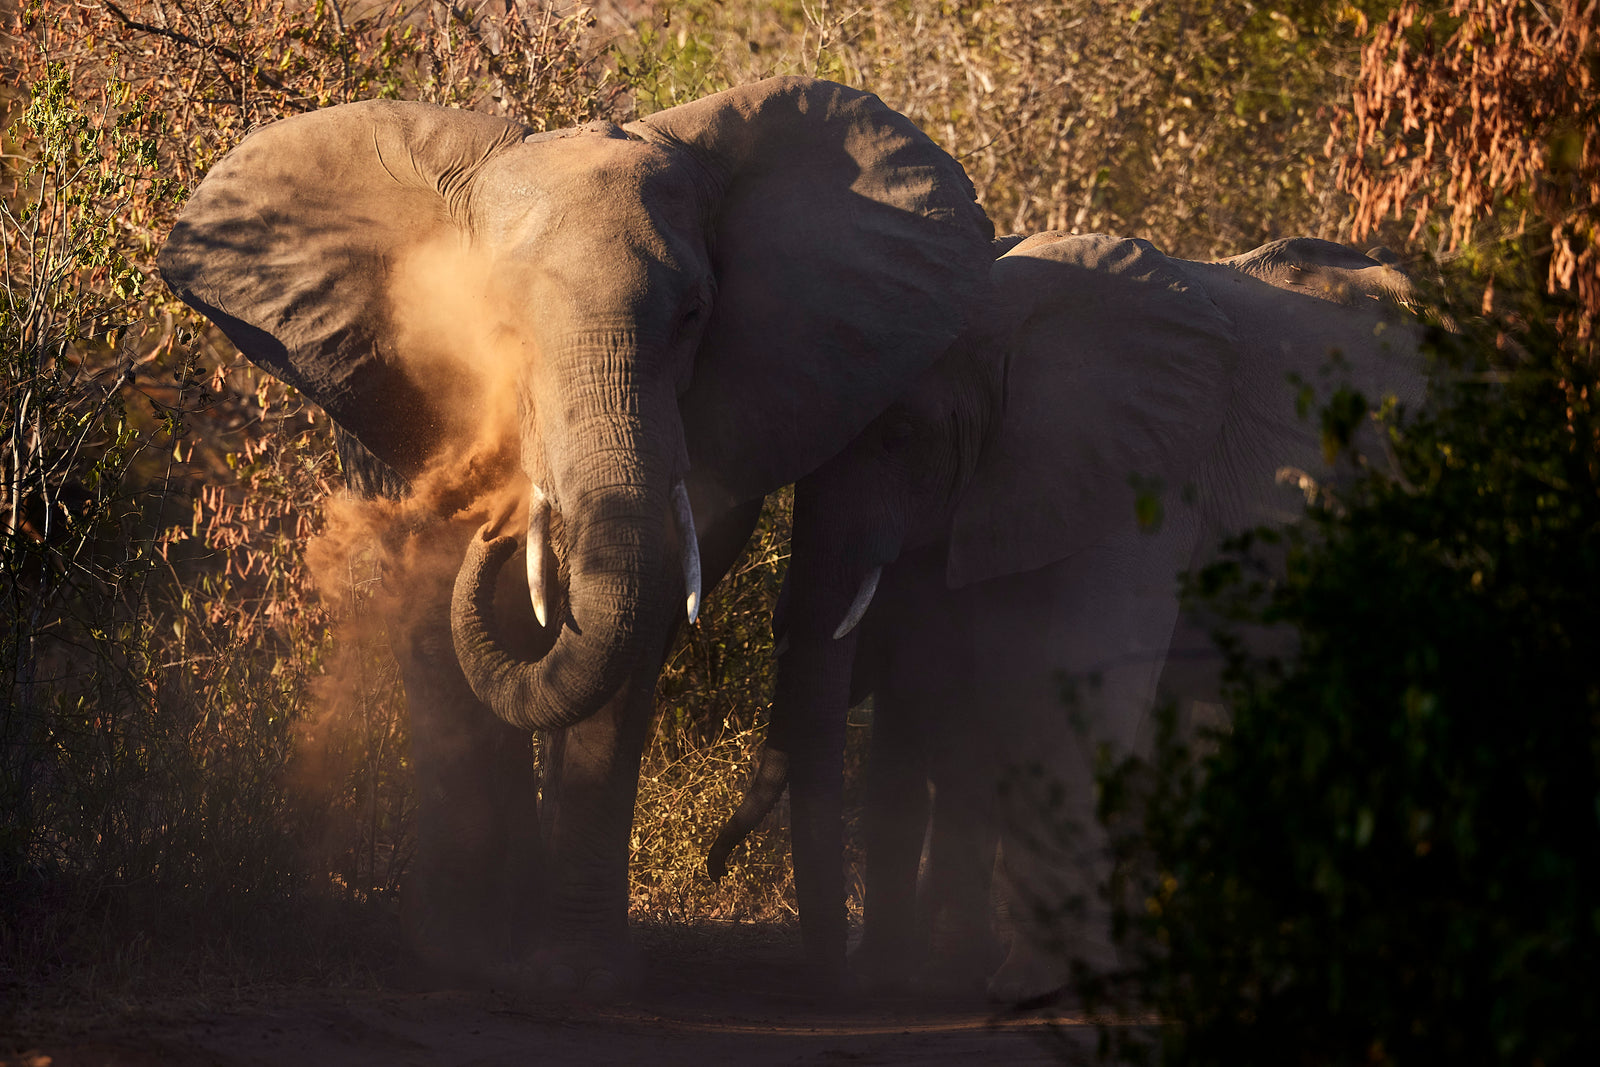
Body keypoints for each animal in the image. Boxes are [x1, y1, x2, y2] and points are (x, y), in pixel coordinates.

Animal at [157, 77, 997, 992]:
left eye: (694, 315)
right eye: (494, 322)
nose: (508, 520)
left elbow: (637, 623)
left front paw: (576, 968)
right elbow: (446, 611)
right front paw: (467, 954)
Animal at [708, 232, 1427, 996]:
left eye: (900, 434)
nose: (716, 865)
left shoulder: (1141, 471)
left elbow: (1072, 677)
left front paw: (1032, 986)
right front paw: (981, 977)